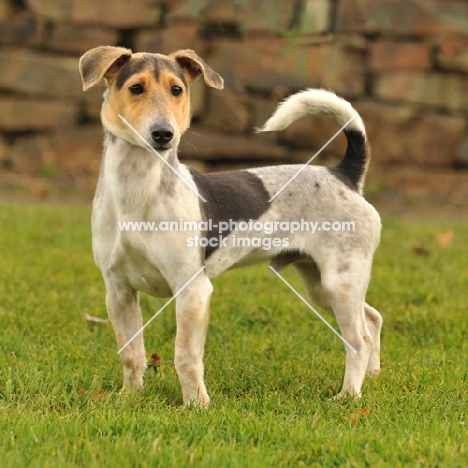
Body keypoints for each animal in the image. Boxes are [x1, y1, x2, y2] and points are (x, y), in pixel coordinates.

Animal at [79, 46, 380, 406]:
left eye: (176, 90)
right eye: (135, 88)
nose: (163, 134)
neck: (136, 191)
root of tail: (343, 175)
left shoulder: (192, 290)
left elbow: (185, 356)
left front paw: (196, 405)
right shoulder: (118, 291)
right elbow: (131, 352)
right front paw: (130, 397)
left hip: (340, 283)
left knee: (359, 339)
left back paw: (349, 394)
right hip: (321, 286)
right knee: (373, 318)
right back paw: (373, 376)